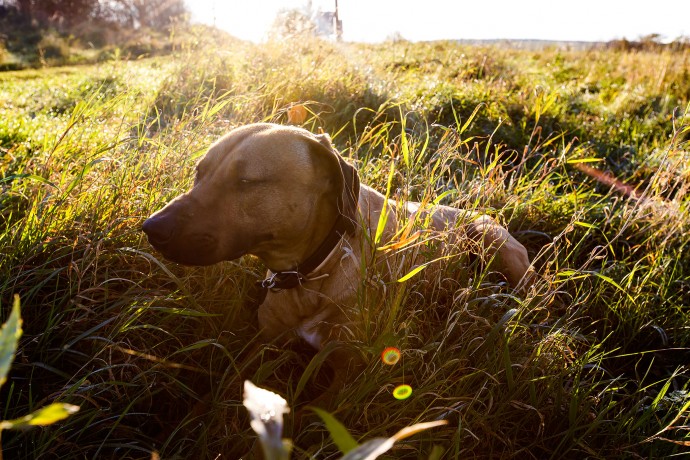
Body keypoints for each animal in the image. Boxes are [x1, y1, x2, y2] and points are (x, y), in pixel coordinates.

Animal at [142, 124, 532, 400]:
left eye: (246, 181)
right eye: (199, 173)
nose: (152, 228)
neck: (310, 273)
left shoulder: (348, 371)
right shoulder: (263, 342)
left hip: (492, 239)